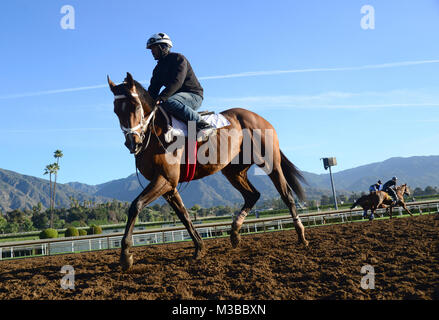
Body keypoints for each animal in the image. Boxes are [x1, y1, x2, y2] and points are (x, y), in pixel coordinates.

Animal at [107, 72, 310, 270]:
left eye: (135, 106)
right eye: (116, 110)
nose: (132, 142)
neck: (155, 132)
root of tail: (259, 118)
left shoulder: (165, 179)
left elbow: (136, 206)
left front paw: (125, 255)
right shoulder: (169, 185)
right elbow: (183, 215)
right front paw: (199, 246)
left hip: (270, 163)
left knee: (286, 195)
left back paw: (301, 235)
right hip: (233, 171)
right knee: (252, 195)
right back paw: (234, 234)